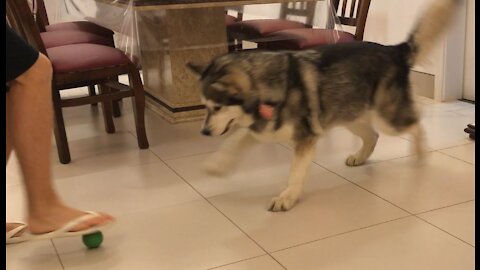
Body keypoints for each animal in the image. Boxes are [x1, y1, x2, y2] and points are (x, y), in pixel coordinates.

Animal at [189, 0, 464, 211]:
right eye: (205, 107)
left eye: (216, 107)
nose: (204, 132)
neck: (267, 86)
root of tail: (394, 50)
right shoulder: (263, 129)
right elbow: (235, 141)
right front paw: (218, 165)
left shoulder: (305, 137)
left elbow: (296, 171)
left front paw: (288, 197)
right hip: (349, 113)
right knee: (373, 135)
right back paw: (360, 157)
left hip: (388, 117)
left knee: (416, 122)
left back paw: (420, 152)